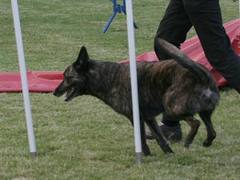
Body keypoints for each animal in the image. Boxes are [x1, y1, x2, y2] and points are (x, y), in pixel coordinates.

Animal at [54, 38, 219, 155]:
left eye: (67, 77)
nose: (55, 92)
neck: (108, 77)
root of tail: (200, 74)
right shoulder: (149, 118)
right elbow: (160, 139)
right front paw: (169, 154)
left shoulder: (135, 117)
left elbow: (142, 140)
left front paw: (146, 156)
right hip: (204, 112)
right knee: (212, 132)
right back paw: (206, 142)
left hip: (172, 108)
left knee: (195, 123)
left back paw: (189, 140)